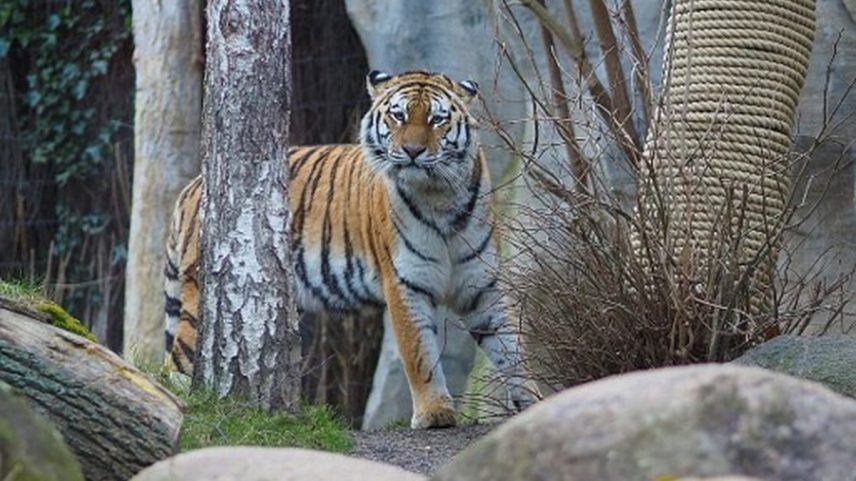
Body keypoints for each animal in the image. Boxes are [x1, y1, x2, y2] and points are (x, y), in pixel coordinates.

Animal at [163, 69, 539, 428]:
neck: (441, 196)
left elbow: (513, 347)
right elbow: (419, 353)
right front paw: (434, 413)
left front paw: (534, 402)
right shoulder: (406, 283)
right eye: (399, 116)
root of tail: (194, 186)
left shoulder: (482, 285)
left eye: (436, 119)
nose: (413, 151)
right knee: (174, 362)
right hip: (198, 304)